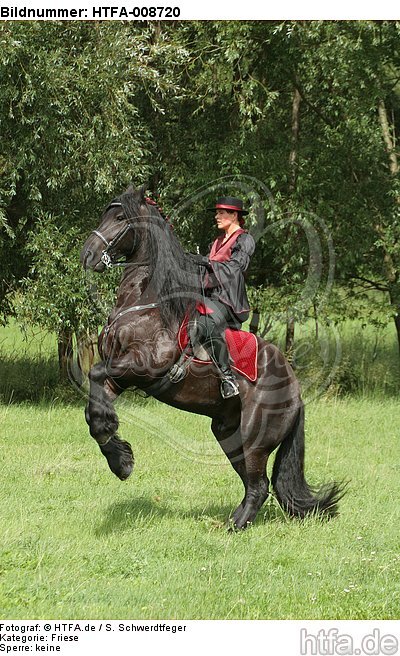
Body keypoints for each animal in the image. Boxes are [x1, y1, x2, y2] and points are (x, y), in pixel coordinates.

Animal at [80, 186, 345, 530]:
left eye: (121, 217)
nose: (87, 254)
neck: (146, 303)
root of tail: (295, 389)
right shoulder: (120, 376)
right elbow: (93, 410)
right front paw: (120, 459)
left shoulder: (144, 366)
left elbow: (95, 374)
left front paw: (119, 455)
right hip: (228, 434)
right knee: (253, 484)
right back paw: (231, 521)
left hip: (255, 437)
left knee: (259, 485)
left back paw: (234, 527)